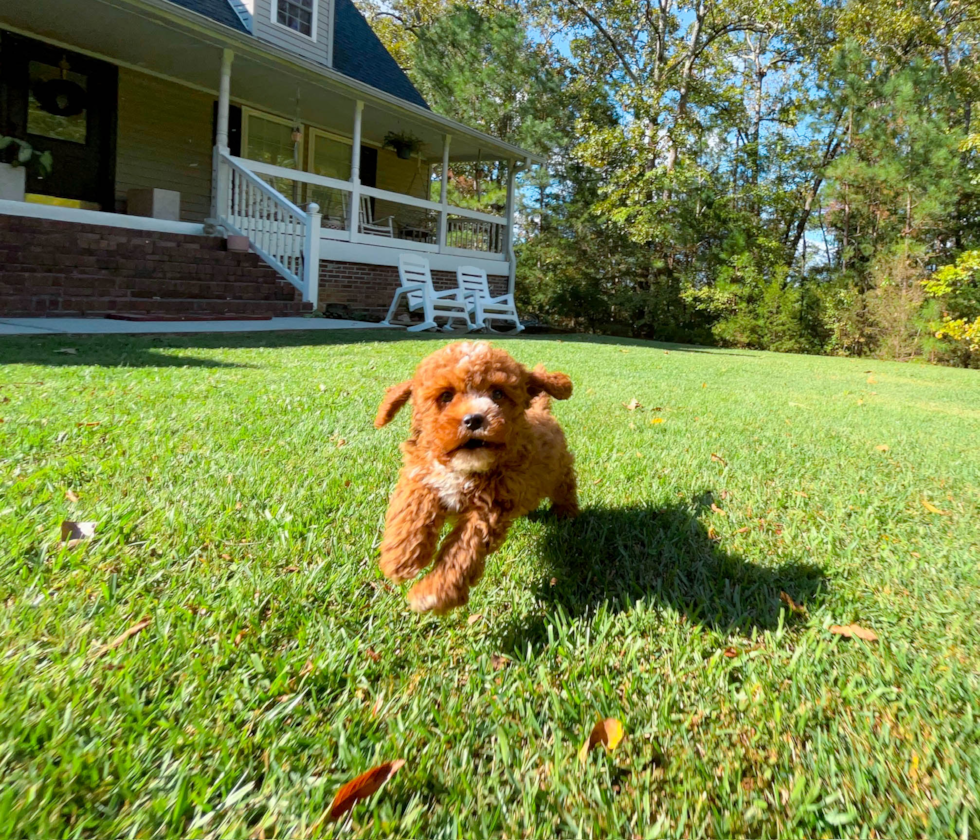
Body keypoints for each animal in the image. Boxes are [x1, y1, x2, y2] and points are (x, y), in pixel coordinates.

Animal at [374, 338, 576, 612]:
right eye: (446, 396)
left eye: (498, 394)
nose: (474, 419)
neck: (465, 468)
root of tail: (543, 411)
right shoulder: (422, 473)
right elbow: (411, 507)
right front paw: (401, 556)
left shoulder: (486, 512)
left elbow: (461, 553)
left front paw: (432, 592)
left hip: (559, 471)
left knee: (566, 487)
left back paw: (566, 513)